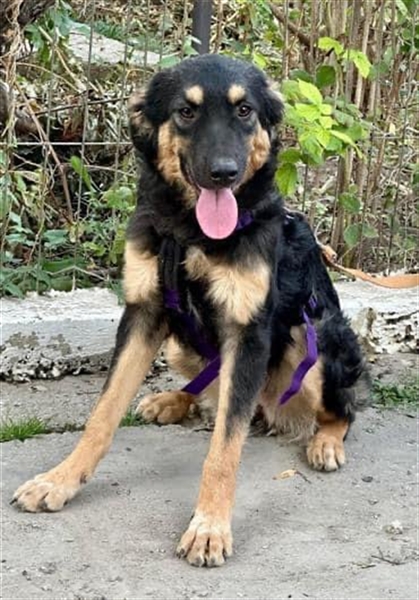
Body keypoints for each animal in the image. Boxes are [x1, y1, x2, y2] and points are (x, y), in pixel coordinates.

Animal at [13, 54, 369, 567]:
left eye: (244, 111)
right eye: (186, 111)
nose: (224, 173)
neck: (192, 233)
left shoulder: (248, 332)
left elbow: (224, 448)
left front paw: (210, 527)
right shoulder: (143, 314)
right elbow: (102, 415)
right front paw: (60, 480)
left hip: (316, 334)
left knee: (340, 408)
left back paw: (324, 441)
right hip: (180, 345)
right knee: (210, 392)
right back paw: (172, 400)